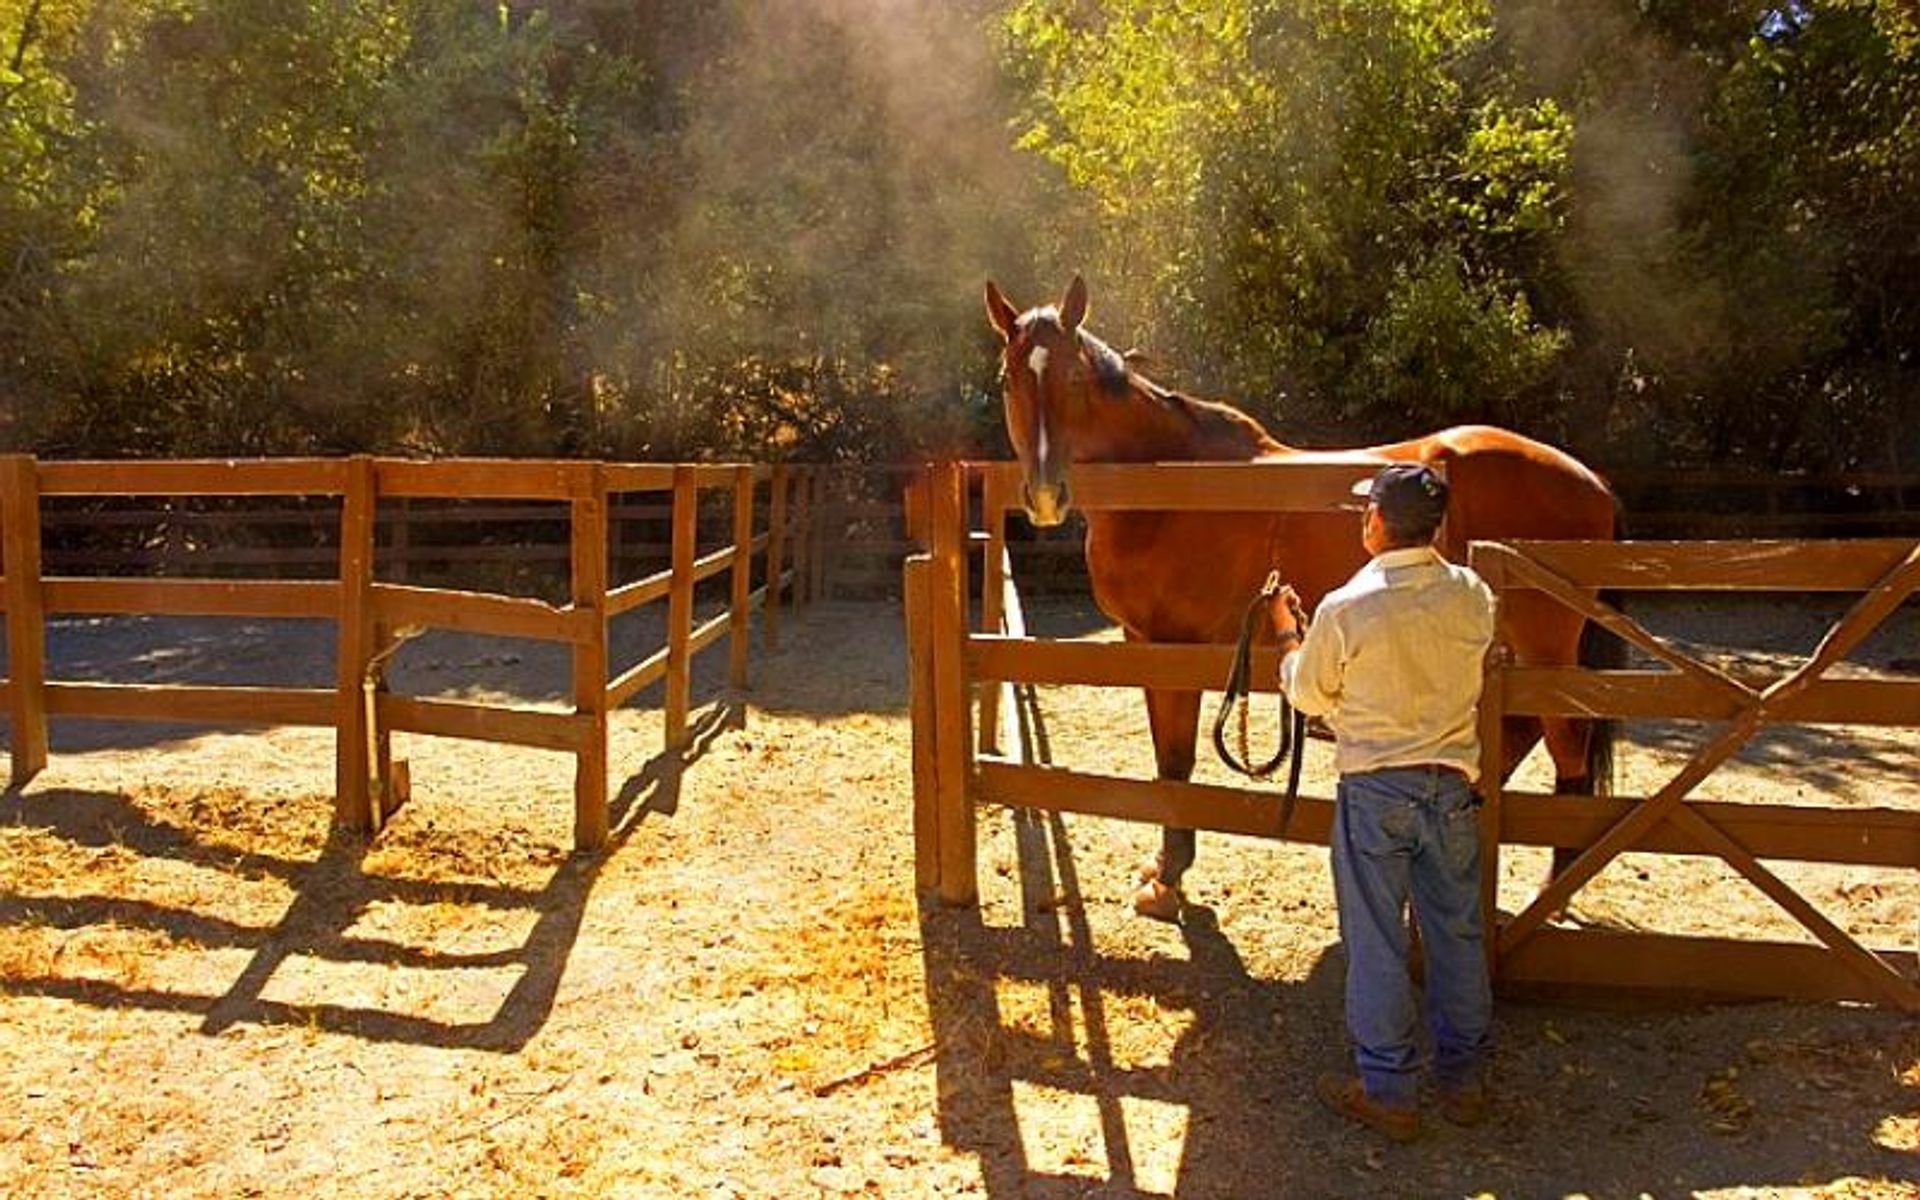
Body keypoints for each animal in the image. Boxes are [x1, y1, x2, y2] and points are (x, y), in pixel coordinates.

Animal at [983, 270, 1612, 906]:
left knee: (1566, 740)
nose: (1044, 495)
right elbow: (1166, 758)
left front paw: (1170, 877)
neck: (1171, 488)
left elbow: (1178, 759)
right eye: (1009, 378)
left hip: (1545, 646)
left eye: (1074, 378)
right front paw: (1165, 866)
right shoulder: (1143, 643)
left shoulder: (1178, 644)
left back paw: (1552, 890)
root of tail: (1592, 481)